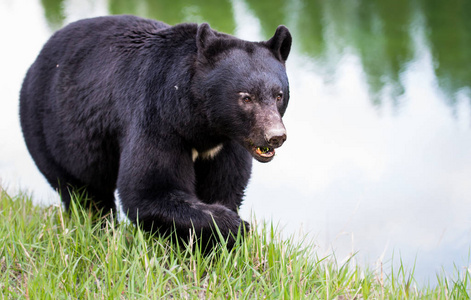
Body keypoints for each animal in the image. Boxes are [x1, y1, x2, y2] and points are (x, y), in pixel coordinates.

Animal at [21, 15, 292, 247]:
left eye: (279, 95)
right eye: (246, 97)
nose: (275, 136)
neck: (202, 125)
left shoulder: (227, 144)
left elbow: (226, 185)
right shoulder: (158, 120)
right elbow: (150, 189)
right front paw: (233, 225)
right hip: (49, 131)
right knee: (84, 194)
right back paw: (100, 227)